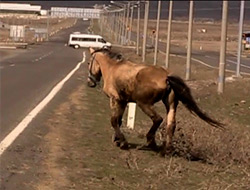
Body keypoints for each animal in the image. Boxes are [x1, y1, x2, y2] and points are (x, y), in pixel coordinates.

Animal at [87, 47, 224, 154]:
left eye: (89, 62)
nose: (90, 82)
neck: (113, 68)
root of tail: (166, 76)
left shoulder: (115, 100)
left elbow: (114, 120)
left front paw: (122, 142)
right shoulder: (123, 102)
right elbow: (118, 120)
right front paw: (117, 140)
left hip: (144, 104)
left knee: (158, 119)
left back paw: (151, 142)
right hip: (170, 104)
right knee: (171, 124)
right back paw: (167, 149)